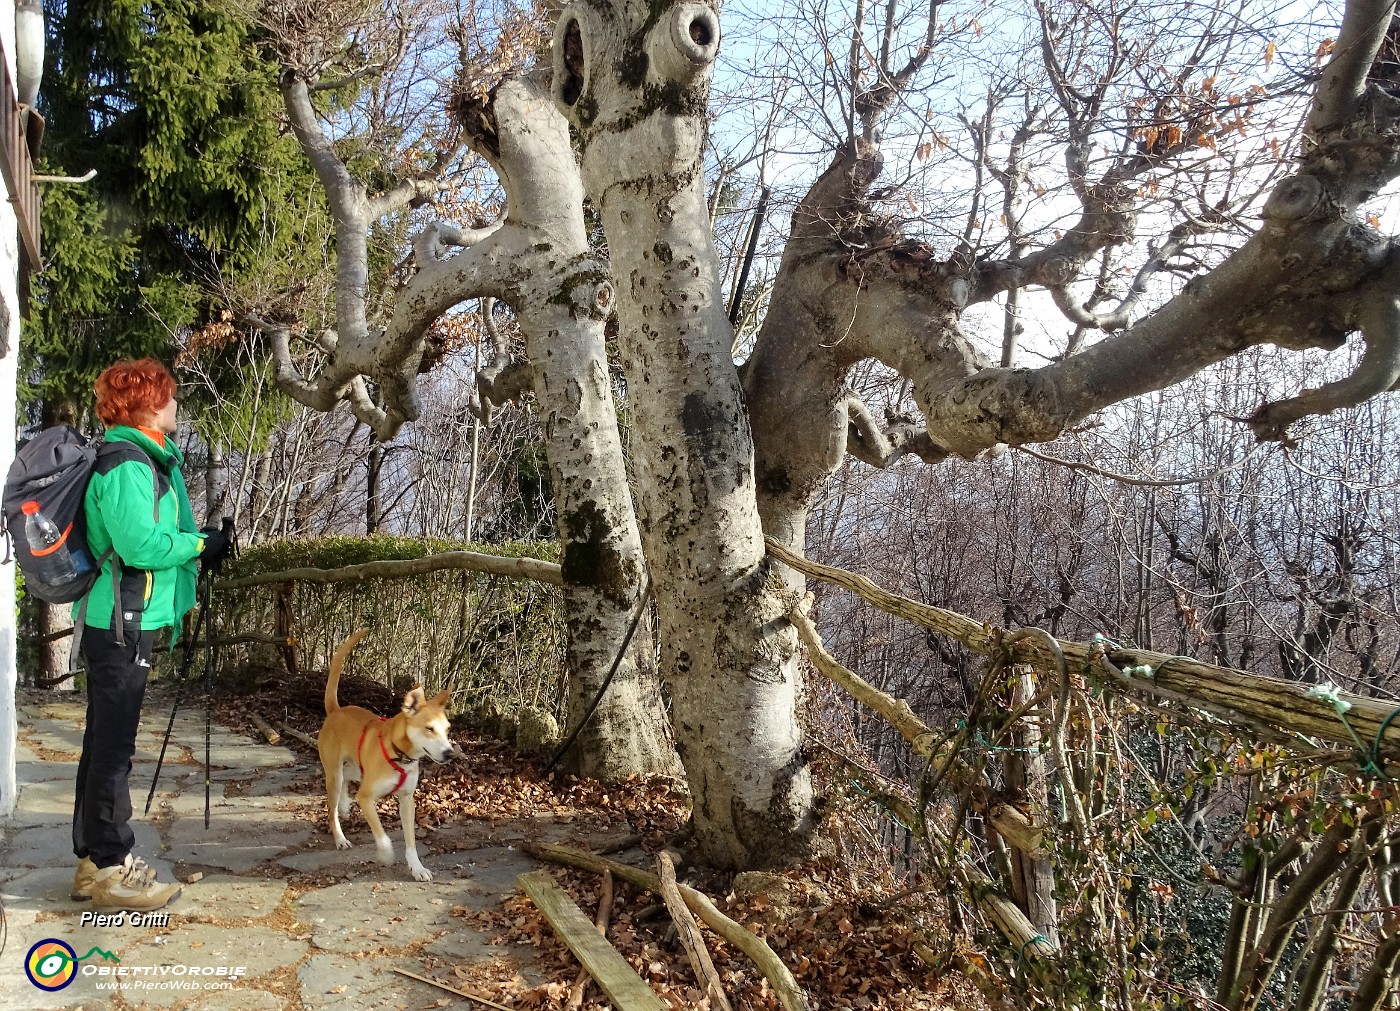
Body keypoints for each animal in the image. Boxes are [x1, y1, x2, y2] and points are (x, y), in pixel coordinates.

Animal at [319, 627, 459, 879]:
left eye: (447, 729)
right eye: (429, 728)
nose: (449, 753)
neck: (400, 755)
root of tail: (336, 710)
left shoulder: (407, 801)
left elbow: (411, 841)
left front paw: (417, 868)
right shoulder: (366, 798)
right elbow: (382, 835)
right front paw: (385, 854)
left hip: (356, 767)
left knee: (347, 779)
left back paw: (344, 805)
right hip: (333, 773)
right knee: (332, 806)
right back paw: (340, 836)